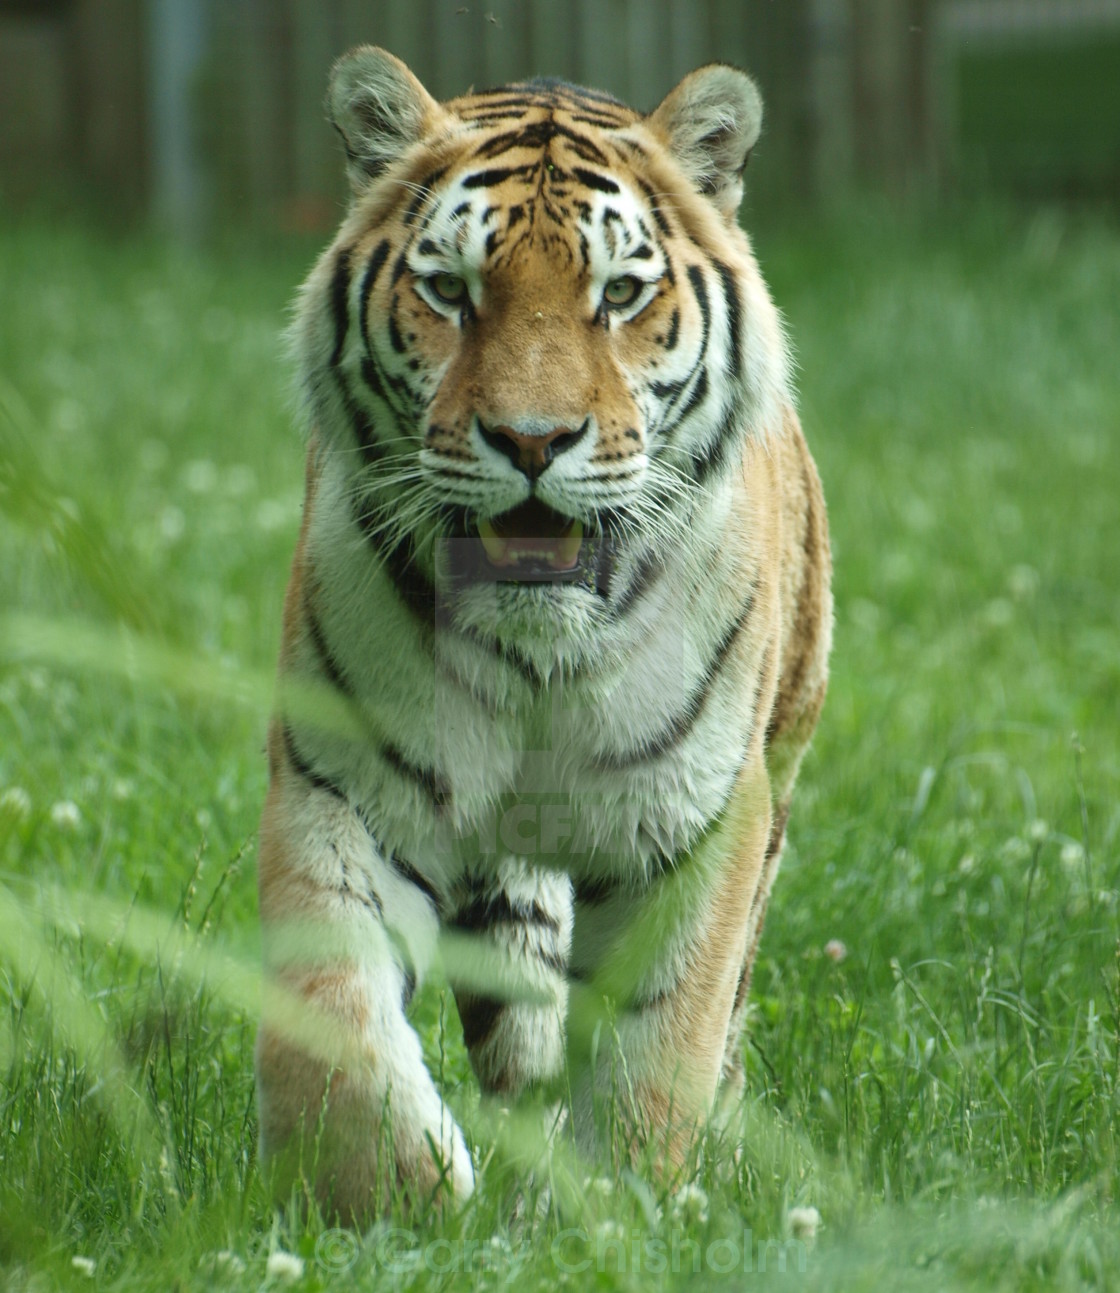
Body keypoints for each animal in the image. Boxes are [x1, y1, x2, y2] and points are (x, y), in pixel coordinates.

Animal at [254, 45, 827, 1220]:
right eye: (448, 290)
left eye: (620, 293)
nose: (530, 441)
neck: (541, 656)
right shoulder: (342, 787)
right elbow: (330, 1020)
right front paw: (392, 1201)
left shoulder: (701, 819)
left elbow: (661, 1042)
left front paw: (628, 1204)